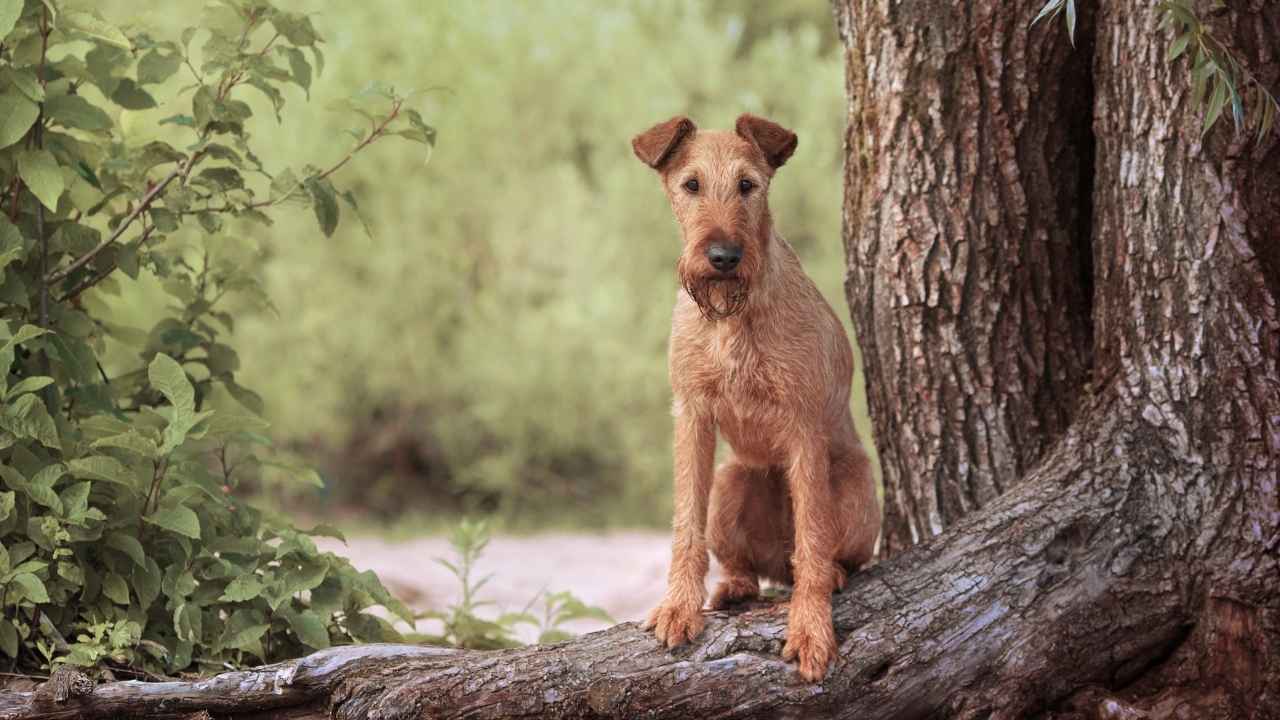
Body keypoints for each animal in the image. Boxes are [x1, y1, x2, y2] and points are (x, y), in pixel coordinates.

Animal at [629, 113, 880, 676]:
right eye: (691, 185)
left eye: (748, 185)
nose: (723, 257)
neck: (731, 316)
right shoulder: (692, 415)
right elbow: (685, 526)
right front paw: (679, 607)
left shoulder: (803, 424)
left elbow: (812, 538)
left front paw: (810, 629)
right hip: (731, 481)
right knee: (742, 562)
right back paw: (735, 587)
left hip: (855, 487)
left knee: (827, 556)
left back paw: (830, 575)